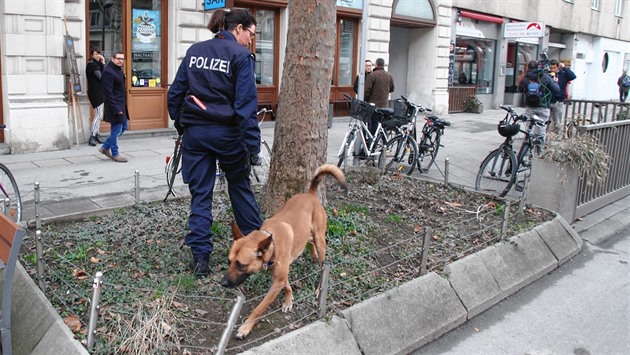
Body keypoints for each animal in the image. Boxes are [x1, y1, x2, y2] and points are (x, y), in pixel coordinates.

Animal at [220, 164, 348, 340]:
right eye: (229, 261)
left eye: (241, 265)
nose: (223, 283)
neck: (271, 242)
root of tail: (310, 194)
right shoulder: (280, 275)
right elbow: (287, 285)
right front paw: (289, 300)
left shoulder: (277, 280)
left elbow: (259, 307)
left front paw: (246, 326)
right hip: (308, 234)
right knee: (309, 242)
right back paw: (312, 254)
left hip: (321, 240)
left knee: (323, 263)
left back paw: (318, 286)